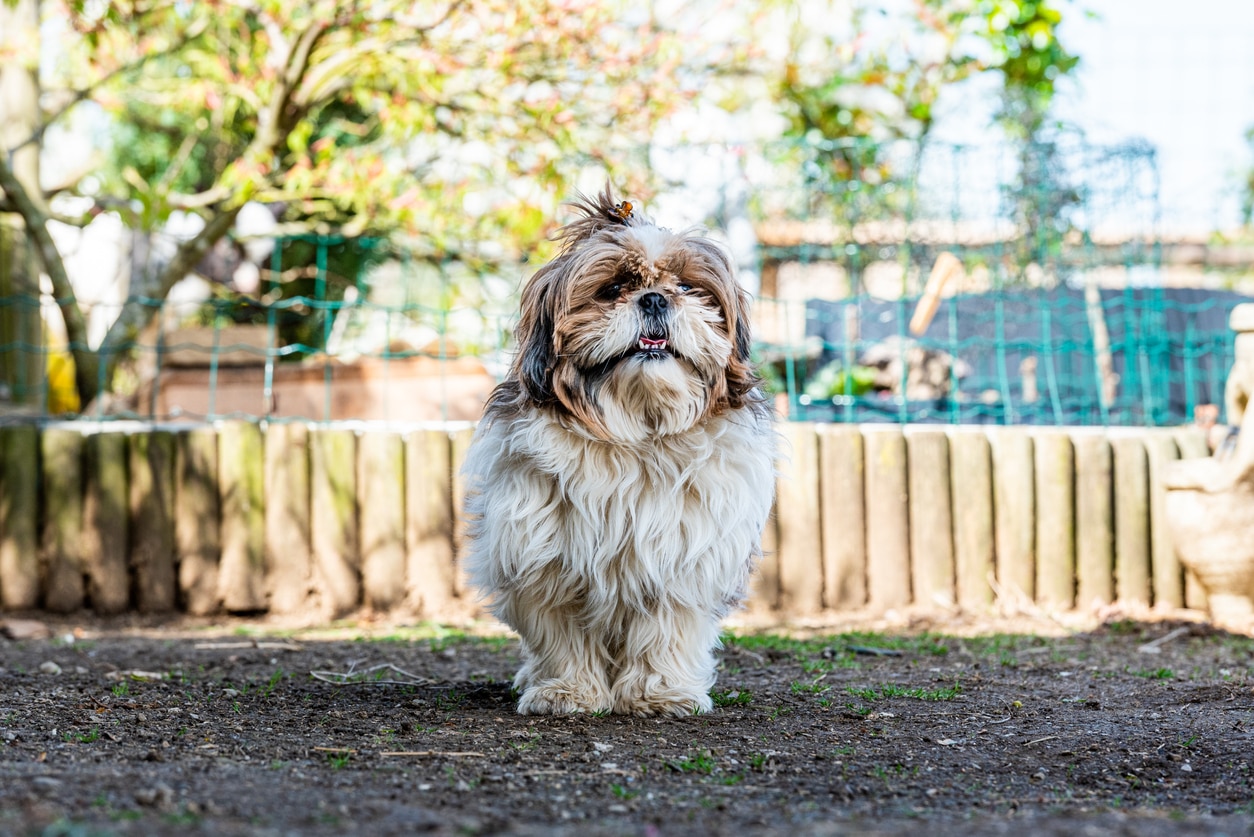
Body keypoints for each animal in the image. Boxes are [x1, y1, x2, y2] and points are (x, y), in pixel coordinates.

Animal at [461, 186, 772, 717]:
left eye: (686, 287)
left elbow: (666, 631)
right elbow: (562, 634)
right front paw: (567, 691)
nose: (654, 298)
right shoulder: (547, 559)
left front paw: (660, 692)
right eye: (612, 290)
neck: (635, 435)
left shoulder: (678, 560)